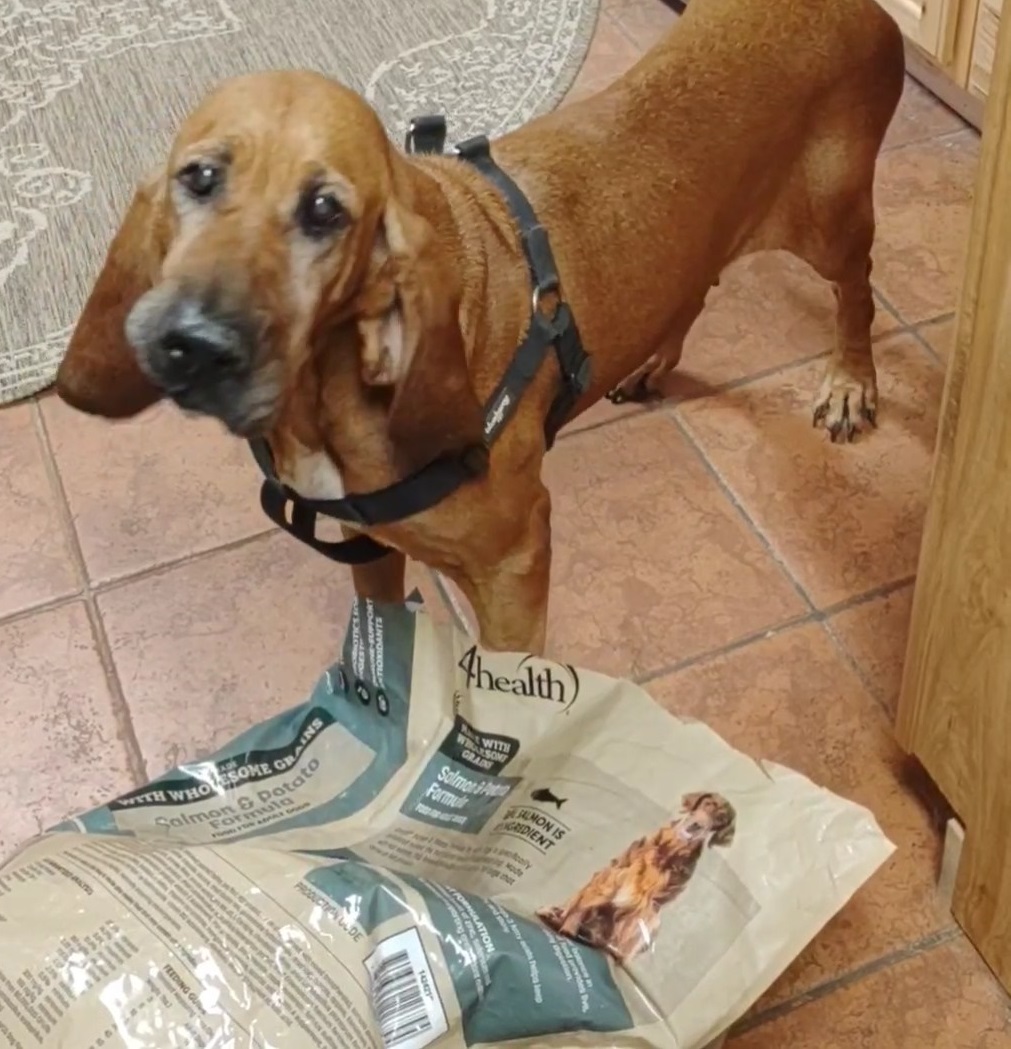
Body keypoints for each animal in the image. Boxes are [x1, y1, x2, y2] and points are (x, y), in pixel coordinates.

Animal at [55, 0, 906, 650]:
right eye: (199, 176)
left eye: (326, 211)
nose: (193, 345)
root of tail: (867, 11)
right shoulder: (372, 552)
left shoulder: (514, 566)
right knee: (697, 286)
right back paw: (654, 363)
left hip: (829, 220)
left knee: (856, 292)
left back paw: (849, 384)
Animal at [536, 788, 734, 960]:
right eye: (708, 803)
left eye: (720, 820)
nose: (696, 826)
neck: (671, 849)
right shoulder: (616, 875)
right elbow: (583, 906)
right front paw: (568, 926)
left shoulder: (650, 903)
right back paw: (554, 914)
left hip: (653, 922)